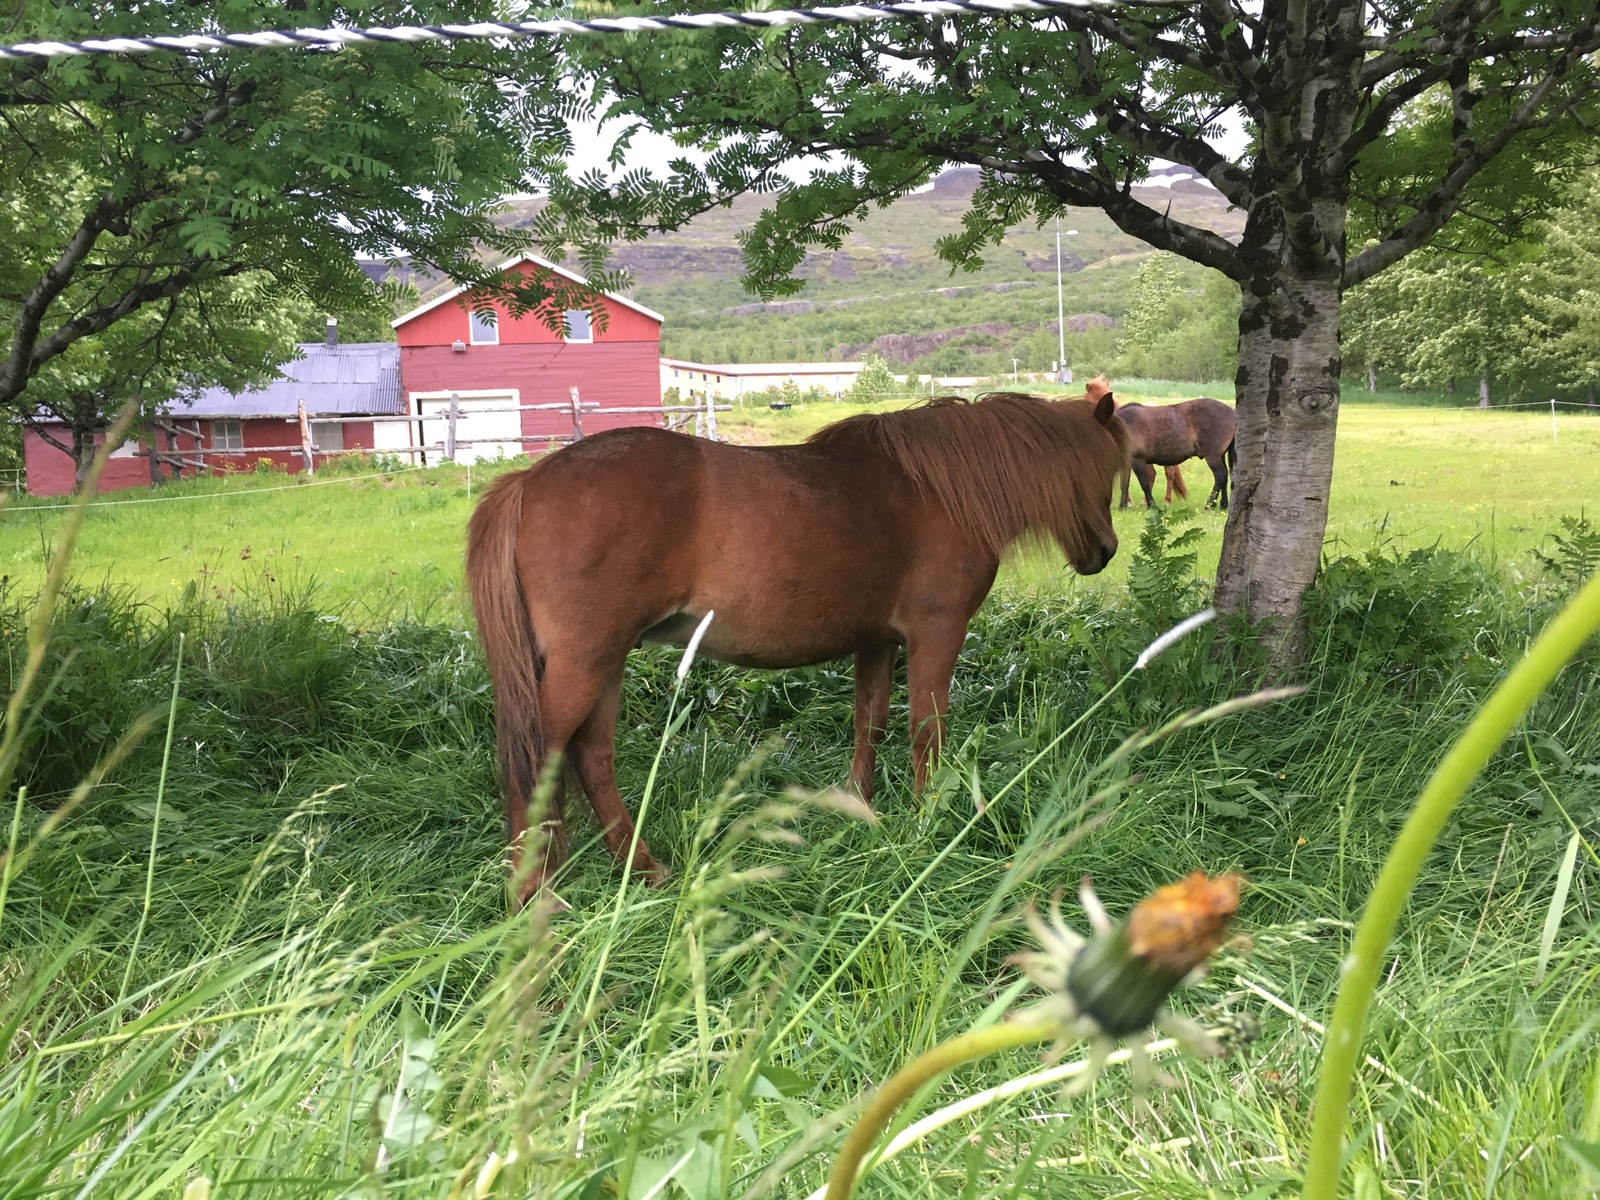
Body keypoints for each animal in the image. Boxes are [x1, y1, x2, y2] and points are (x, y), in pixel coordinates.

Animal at [467, 390, 1132, 908]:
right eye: (1108, 470)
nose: (1106, 551)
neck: (941, 490)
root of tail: (528, 482)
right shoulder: (936, 633)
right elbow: (926, 729)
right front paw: (928, 822)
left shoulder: (877, 644)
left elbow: (871, 724)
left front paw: (863, 810)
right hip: (585, 663)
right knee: (537, 760)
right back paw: (535, 894)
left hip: (604, 664)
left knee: (591, 758)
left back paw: (642, 869)